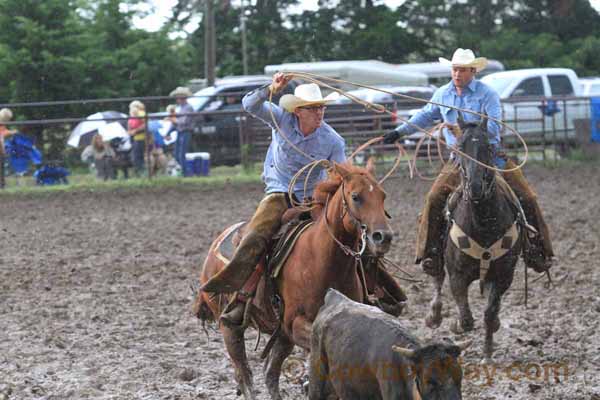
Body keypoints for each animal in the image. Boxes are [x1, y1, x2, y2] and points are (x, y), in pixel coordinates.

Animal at [195, 162, 396, 400]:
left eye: (383, 196)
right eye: (356, 197)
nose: (383, 237)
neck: (322, 261)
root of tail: (215, 245)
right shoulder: (295, 323)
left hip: (282, 336)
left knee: (270, 374)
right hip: (230, 325)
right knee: (244, 373)